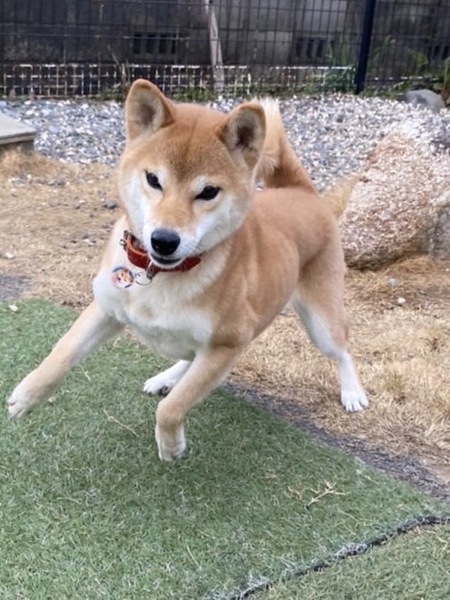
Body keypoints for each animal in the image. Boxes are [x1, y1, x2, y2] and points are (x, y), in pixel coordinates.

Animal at [7, 79, 368, 461]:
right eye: (153, 179)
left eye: (208, 192)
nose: (164, 240)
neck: (160, 276)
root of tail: (302, 192)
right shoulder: (106, 309)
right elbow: (60, 354)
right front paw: (27, 395)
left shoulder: (227, 345)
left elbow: (172, 408)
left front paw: (171, 444)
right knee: (189, 357)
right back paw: (167, 376)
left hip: (321, 322)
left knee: (342, 349)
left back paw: (352, 392)